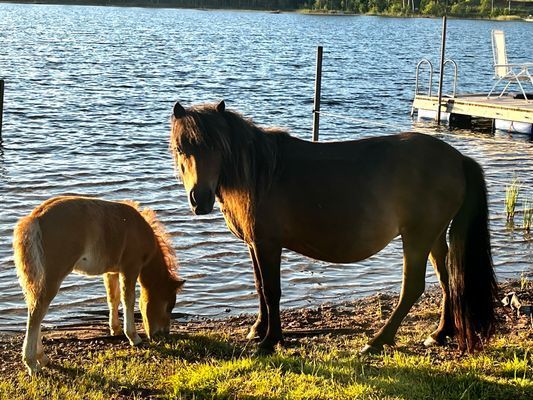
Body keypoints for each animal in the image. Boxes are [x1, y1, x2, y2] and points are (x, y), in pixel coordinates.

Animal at [171, 101, 498, 354]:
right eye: (180, 148)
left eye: (216, 146)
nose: (199, 199)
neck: (261, 174)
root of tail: (458, 159)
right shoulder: (255, 244)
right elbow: (260, 287)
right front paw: (258, 329)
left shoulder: (268, 244)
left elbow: (272, 290)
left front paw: (270, 340)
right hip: (434, 237)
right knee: (446, 280)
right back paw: (440, 333)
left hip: (417, 238)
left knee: (413, 287)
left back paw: (377, 341)